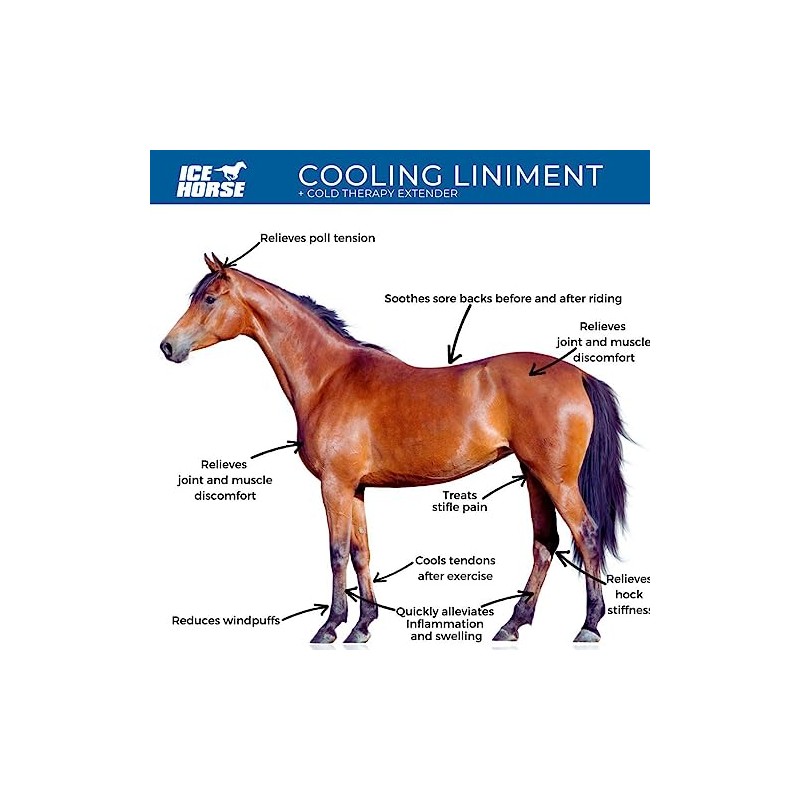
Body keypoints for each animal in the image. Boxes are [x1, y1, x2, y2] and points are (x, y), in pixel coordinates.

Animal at [160, 253, 629, 644]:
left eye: (209, 298)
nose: (168, 346)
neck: (330, 377)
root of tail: (578, 374)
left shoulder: (334, 485)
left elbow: (336, 553)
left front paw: (330, 627)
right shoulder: (355, 488)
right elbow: (361, 553)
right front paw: (362, 626)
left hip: (556, 477)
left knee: (586, 535)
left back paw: (588, 626)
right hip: (534, 475)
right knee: (544, 543)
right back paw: (512, 624)